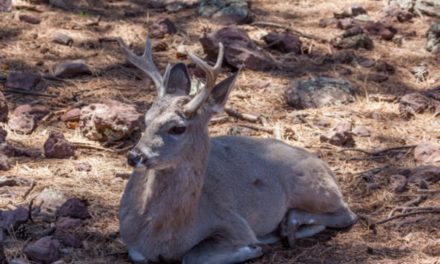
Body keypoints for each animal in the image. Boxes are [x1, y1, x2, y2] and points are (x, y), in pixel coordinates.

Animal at [117, 35, 358, 264]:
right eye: (145, 119)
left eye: (178, 128)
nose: (134, 156)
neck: (164, 235)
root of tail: (325, 166)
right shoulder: (131, 242)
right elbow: (141, 255)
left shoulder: (234, 223)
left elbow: (193, 256)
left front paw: (253, 248)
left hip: (313, 188)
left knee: (347, 214)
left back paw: (287, 227)